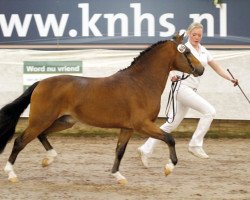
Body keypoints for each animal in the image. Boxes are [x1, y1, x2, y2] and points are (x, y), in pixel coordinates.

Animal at [0, 32, 203, 184]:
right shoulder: (142, 125)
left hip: (64, 121)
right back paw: (11, 173)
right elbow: (170, 138)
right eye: (187, 52)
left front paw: (118, 176)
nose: (201, 69)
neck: (140, 83)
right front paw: (169, 168)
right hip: (40, 120)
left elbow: (119, 151)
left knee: (41, 135)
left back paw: (49, 158)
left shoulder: (127, 128)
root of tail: (41, 82)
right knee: (20, 141)